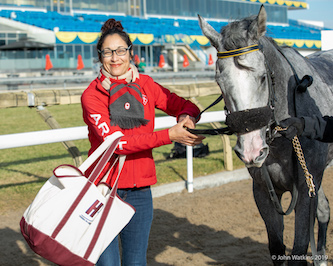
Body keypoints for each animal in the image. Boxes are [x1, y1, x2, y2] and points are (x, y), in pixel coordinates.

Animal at [197, 4, 332, 266]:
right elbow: (277, 246)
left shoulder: (304, 189)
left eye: (262, 77)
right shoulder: (263, 190)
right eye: (219, 82)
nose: (251, 151)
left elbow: (299, 247)